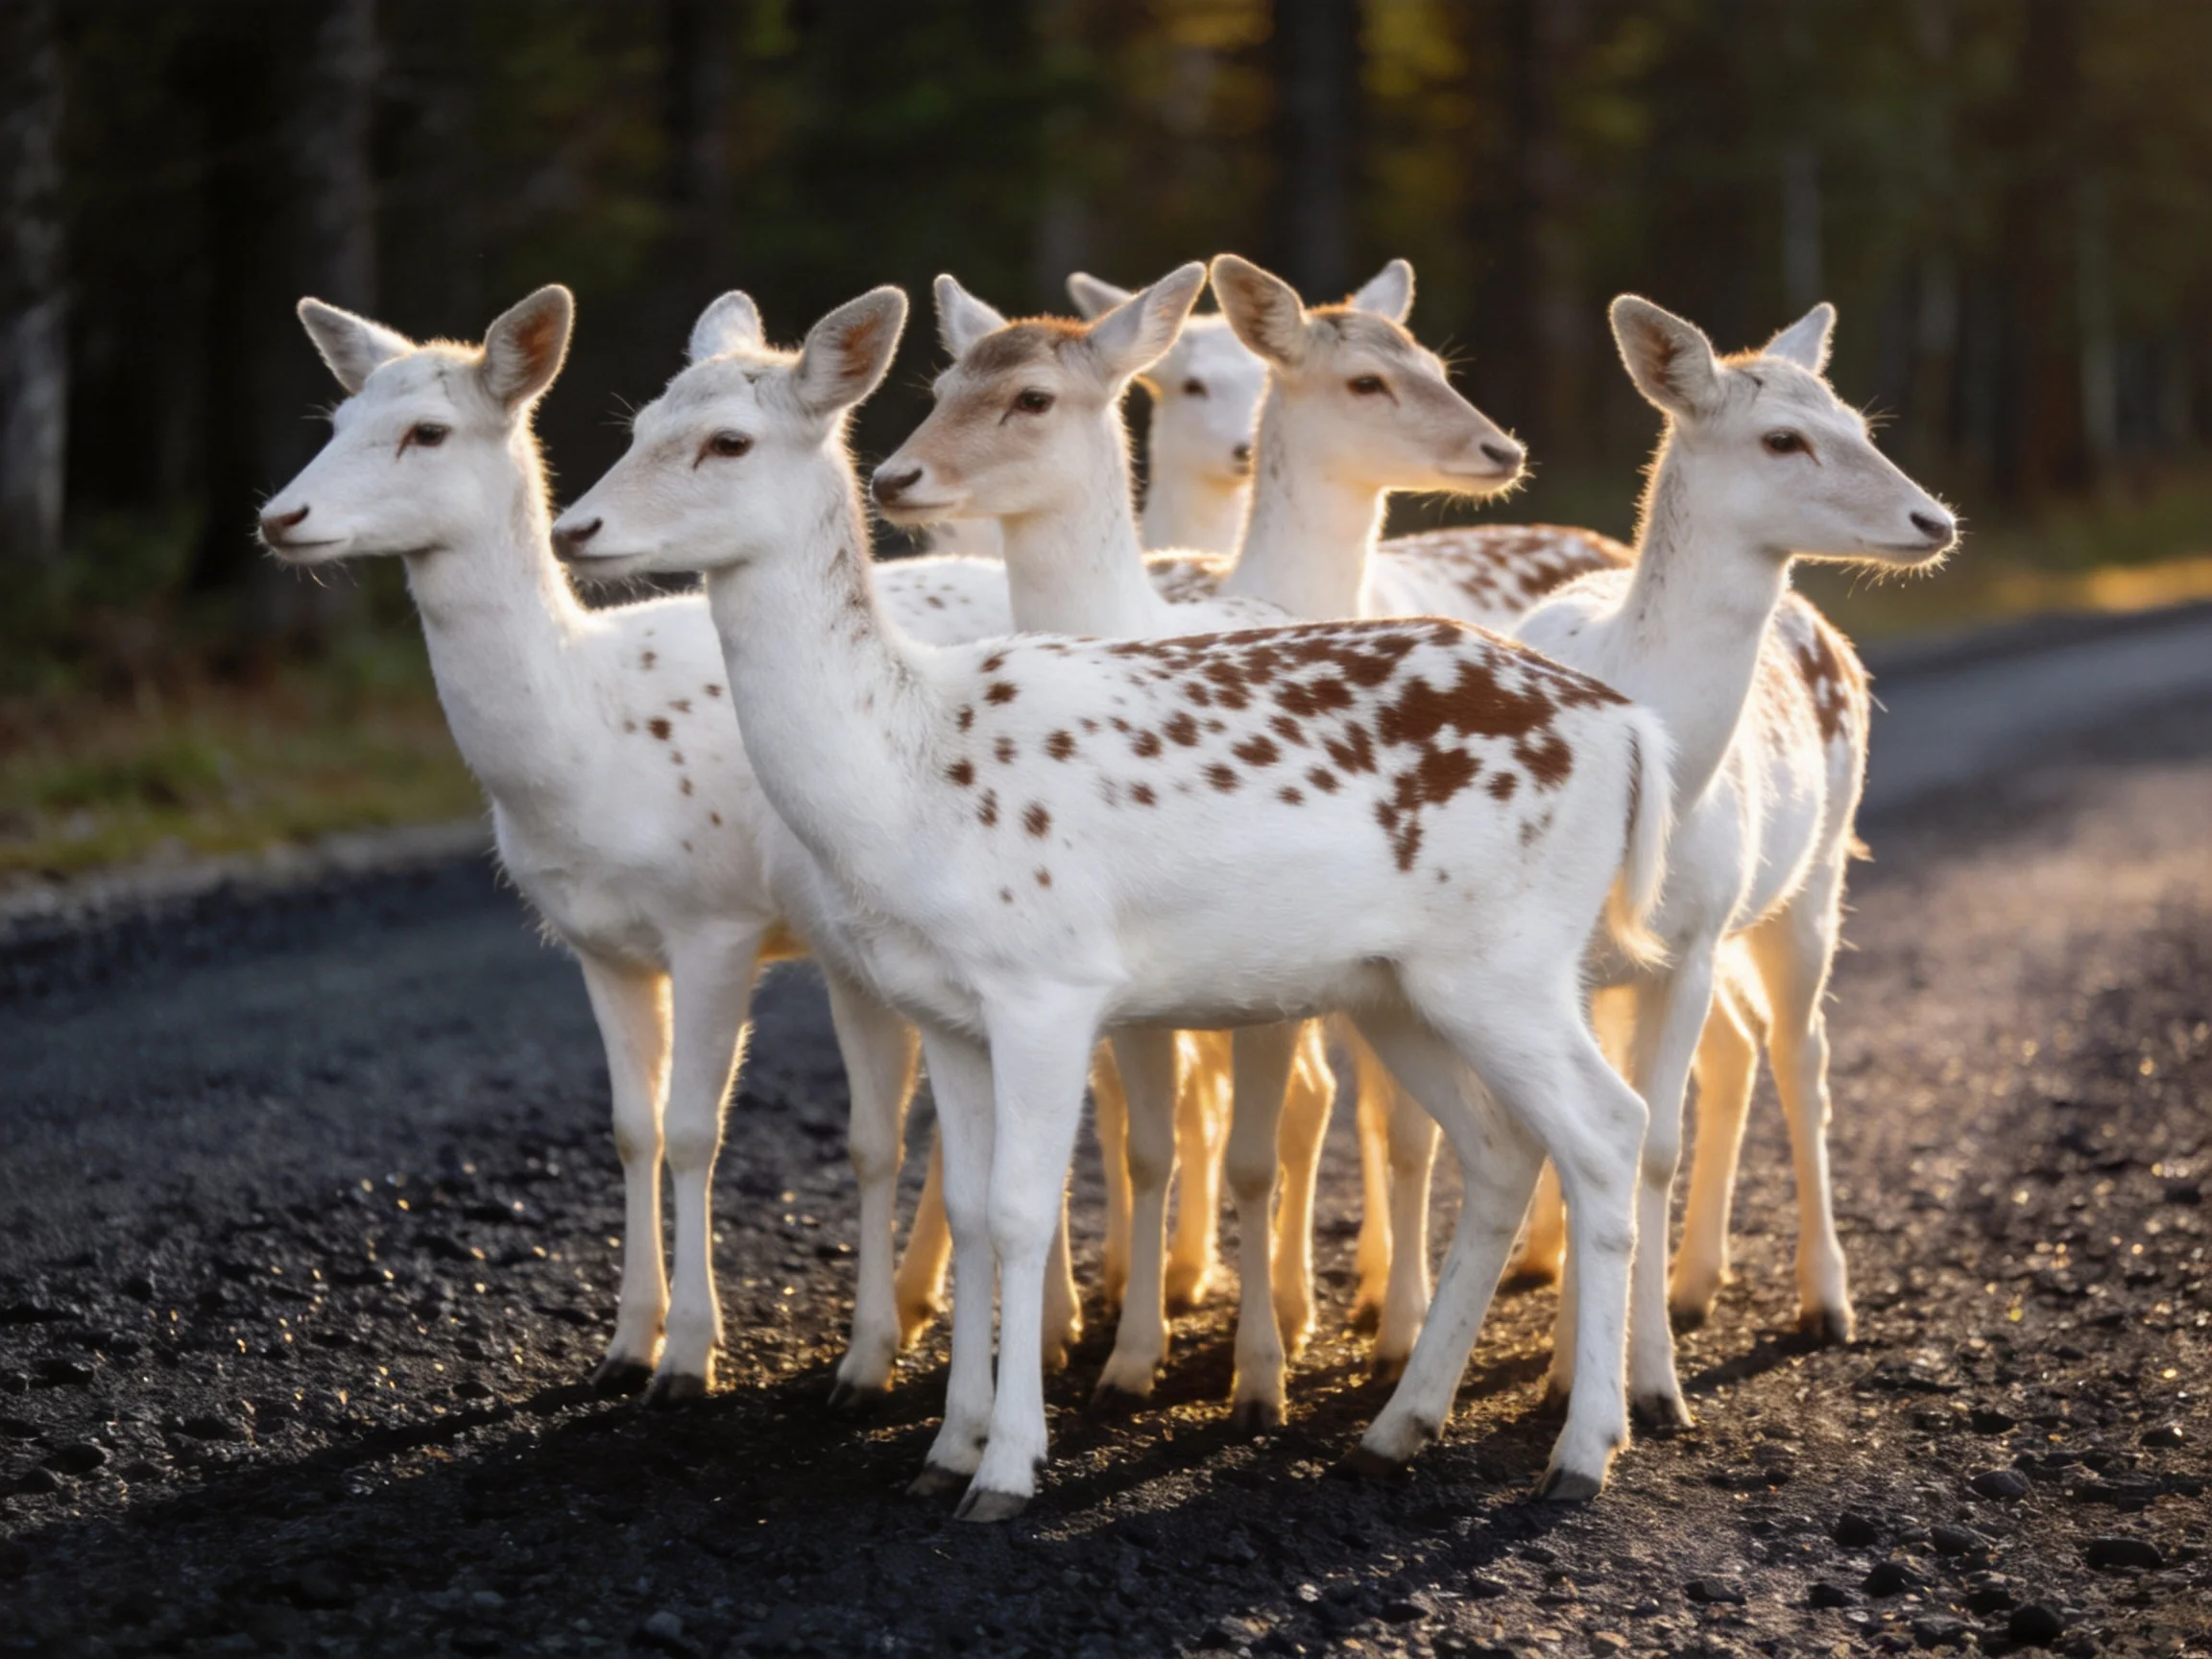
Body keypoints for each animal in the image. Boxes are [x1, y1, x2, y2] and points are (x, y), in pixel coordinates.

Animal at [552, 281, 1676, 1517]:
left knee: (1610, 1129)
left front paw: (1006, 1469)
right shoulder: (947, 1007)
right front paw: (945, 1449)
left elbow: (1020, 1209)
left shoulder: (1048, 980)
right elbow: (972, 1211)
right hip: (1401, 986)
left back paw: (1584, 1450)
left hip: (1508, 958)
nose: (576, 530)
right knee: (1503, 1150)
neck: (906, 771)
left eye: (727, 441)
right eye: (640, 422)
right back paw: (1398, 1426)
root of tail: (1630, 730)